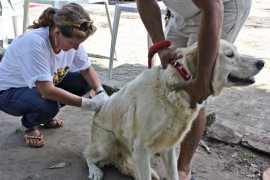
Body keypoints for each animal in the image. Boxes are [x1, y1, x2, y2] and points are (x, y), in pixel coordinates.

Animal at [84, 40, 264, 179]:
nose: (261, 62)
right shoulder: (141, 147)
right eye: (230, 55)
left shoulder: (168, 146)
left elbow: (174, 174)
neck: (175, 89)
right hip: (107, 142)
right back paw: (95, 171)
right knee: (87, 155)